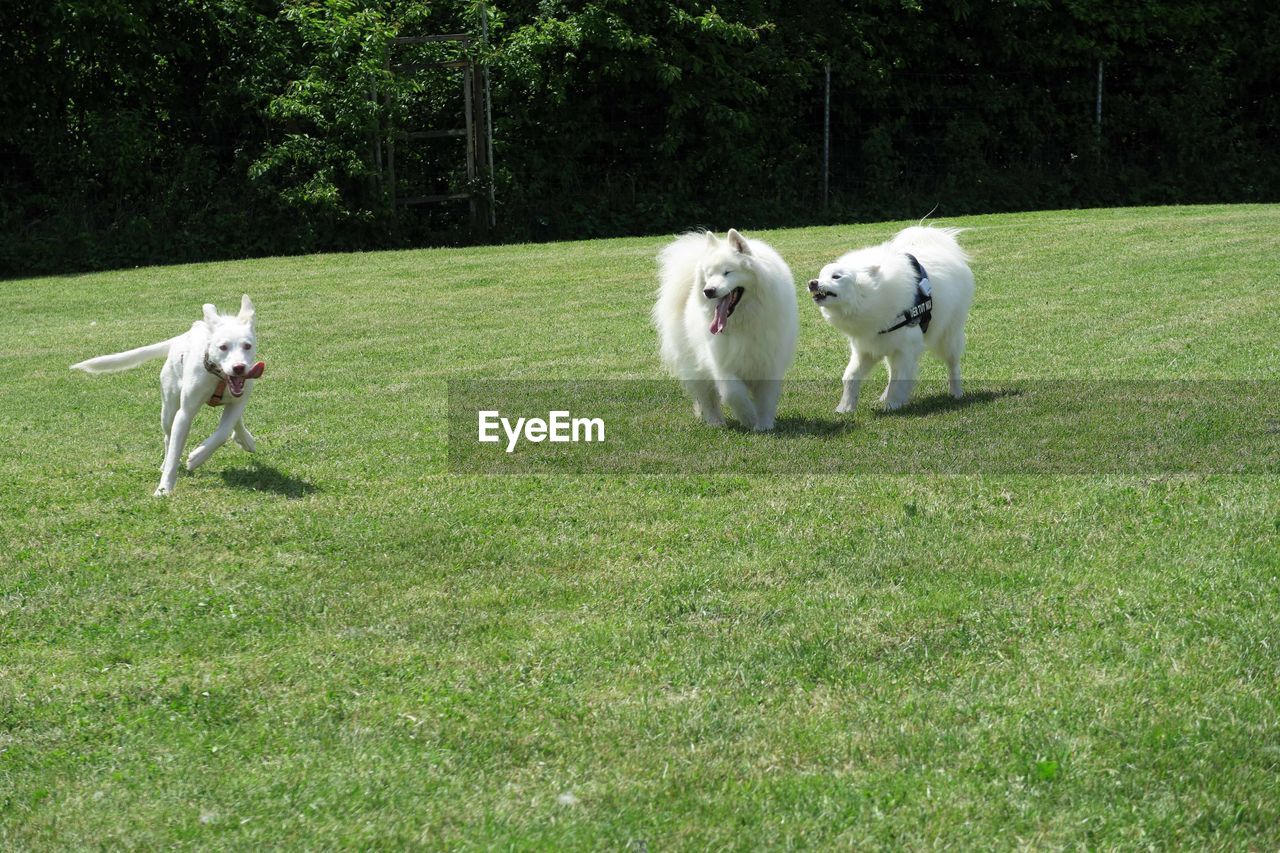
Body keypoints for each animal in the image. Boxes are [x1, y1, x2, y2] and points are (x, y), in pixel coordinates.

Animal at [72, 294, 262, 494]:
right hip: (169, 409)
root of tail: (181, 337)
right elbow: (174, 452)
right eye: (223, 347)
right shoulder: (184, 414)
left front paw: (197, 456)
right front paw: (164, 488)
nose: (239, 367)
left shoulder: (238, 402)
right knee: (168, 438)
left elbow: (223, 432)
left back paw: (245, 439)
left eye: (247, 346)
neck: (219, 379)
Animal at [655, 225, 793, 427]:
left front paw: (764, 424)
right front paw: (749, 417)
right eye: (709, 274)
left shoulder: (769, 362)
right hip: (695, 365)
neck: (744, 321)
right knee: (707, 397)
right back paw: (715, 422)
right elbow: (733, 393)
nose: (708, 291)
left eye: (728, 272)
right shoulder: (722, 363)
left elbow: (766, 399)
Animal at [803, 225, 972, 412]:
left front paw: (893, 405)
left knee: (953, 364)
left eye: (836, 276)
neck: (868, 296)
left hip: (948, 336)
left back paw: (956, 392)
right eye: (821, 275)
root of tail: (945, 248)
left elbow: (899, 379)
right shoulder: (866, 348)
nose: (812, 283)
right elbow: (850, 377)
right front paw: (845, 407)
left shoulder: (905, 348)